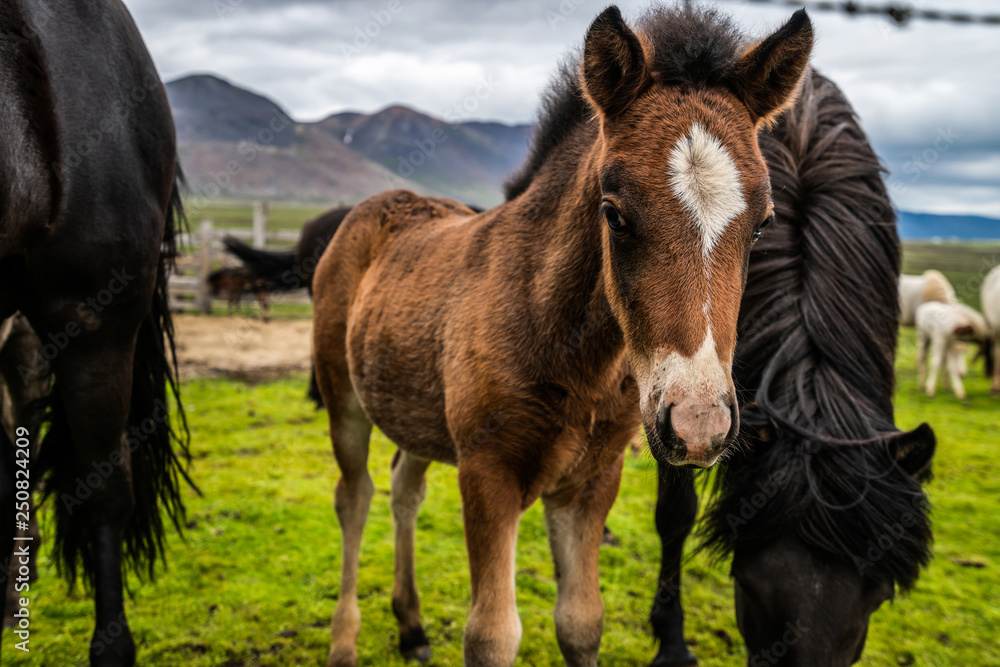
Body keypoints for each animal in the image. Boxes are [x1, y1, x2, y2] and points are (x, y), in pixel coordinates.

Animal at [312, 6, 812, 667]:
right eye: (614, 214)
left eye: (761, 225)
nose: (698, 425)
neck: (576, 358)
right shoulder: (488, 473)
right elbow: (492, 636)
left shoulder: (591, 481)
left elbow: (580, 622)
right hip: (343, 399)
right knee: (355, 498)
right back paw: (345, 640)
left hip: (413, 406)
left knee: (403, 490)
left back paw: (412, 626)